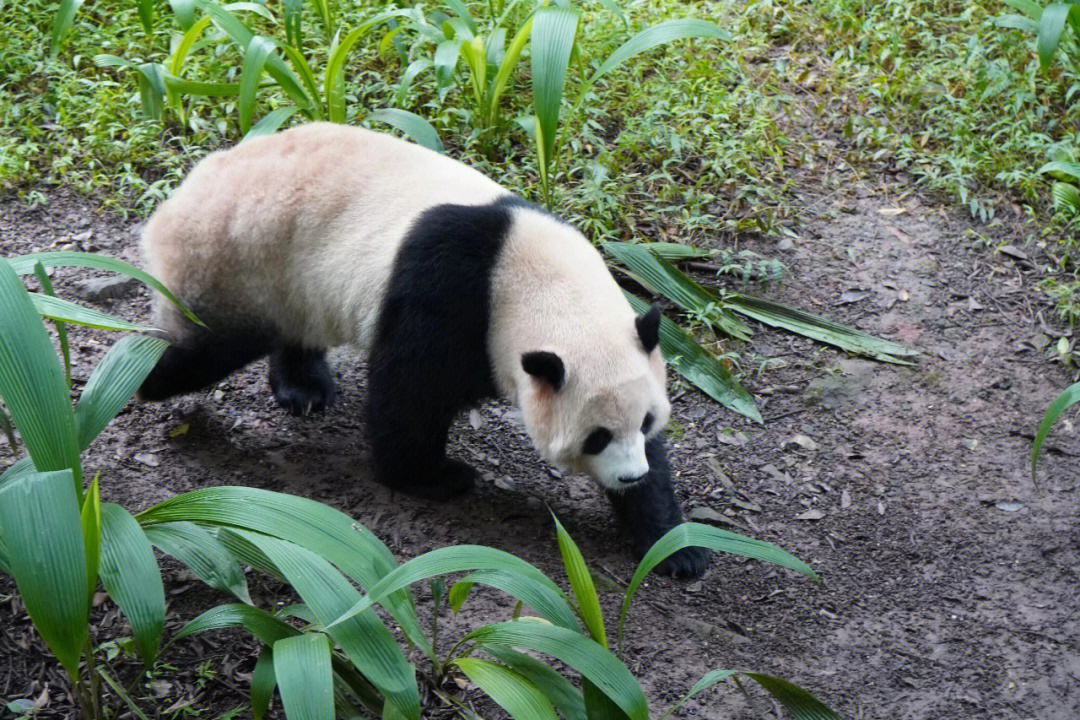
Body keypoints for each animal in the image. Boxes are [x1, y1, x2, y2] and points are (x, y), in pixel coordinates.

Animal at [137, 120, 708, 578]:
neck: (531, 279)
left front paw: (675, 546)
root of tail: (183, 194)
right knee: (209, 346)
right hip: (237, 262)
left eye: (645, 422)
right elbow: (409, 390)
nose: (629, 475)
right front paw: (434, 476)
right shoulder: (450, 290)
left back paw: (304, 388)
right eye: (596, 437)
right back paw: (144, 376)